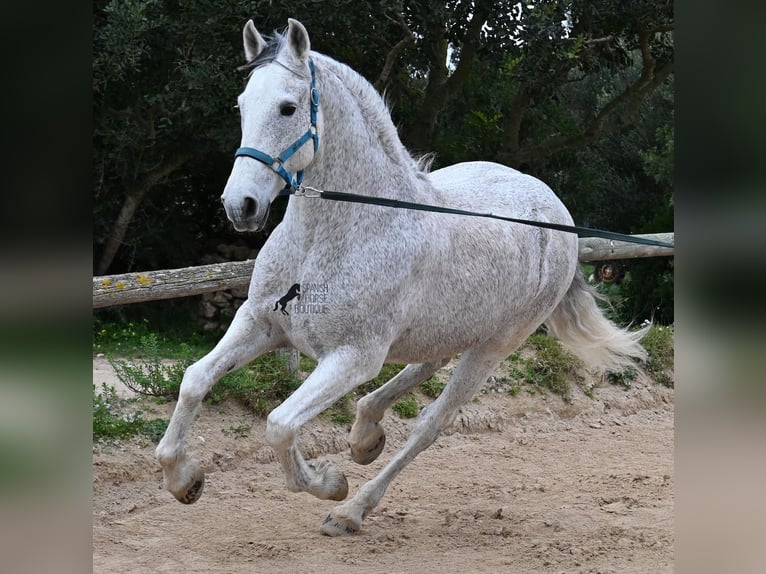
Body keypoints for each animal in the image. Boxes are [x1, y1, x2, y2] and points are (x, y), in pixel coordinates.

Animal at [156, 19, 648, 540]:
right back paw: (365, 435)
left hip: (495, 345)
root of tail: (556, 211)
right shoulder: (261, 324)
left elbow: (280, 424)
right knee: (425, 365)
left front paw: (331, 484)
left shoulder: (352, 356)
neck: (330, 239)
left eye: (288, 107)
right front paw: (184, 481)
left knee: (430, 424)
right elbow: (194, 380)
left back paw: (352, 509)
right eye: (242, 104)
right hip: (449, 325)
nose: (240, 206)